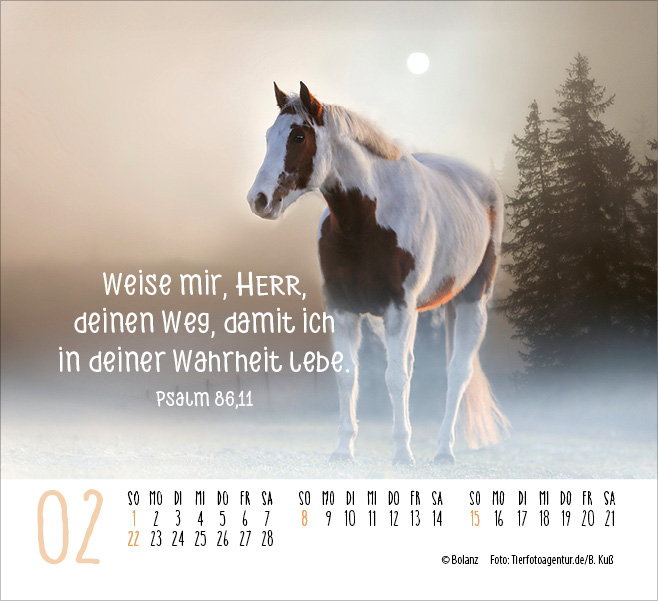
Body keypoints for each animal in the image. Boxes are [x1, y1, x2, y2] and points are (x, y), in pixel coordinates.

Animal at [247, 82, 509, 464]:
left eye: (298, 136)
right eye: (268, 136)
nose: (259, 200)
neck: (366, 220)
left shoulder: (398, 309)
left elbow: (395, 378)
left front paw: (402, 453)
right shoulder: (341, 308)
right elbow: (348, 376)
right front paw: (343, 450)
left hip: (472, 302)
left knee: (457, 373)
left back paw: (444, 451)